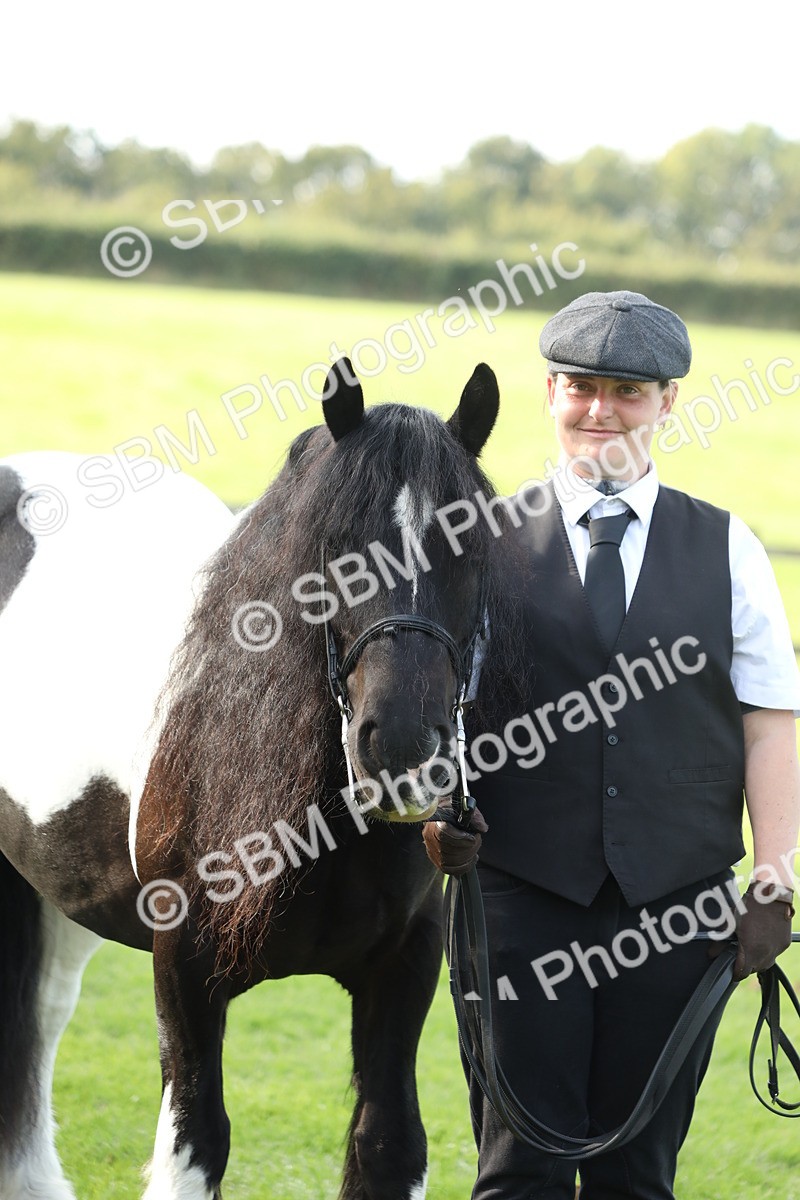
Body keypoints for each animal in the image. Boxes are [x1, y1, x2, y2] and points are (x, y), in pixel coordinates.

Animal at [0, 357, 520, 1199]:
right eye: (332, 548)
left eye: (470, 546)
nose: (404, 747)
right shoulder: (183, 969)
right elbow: (196, 1142)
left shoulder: (404, 966)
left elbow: (388, 1144)